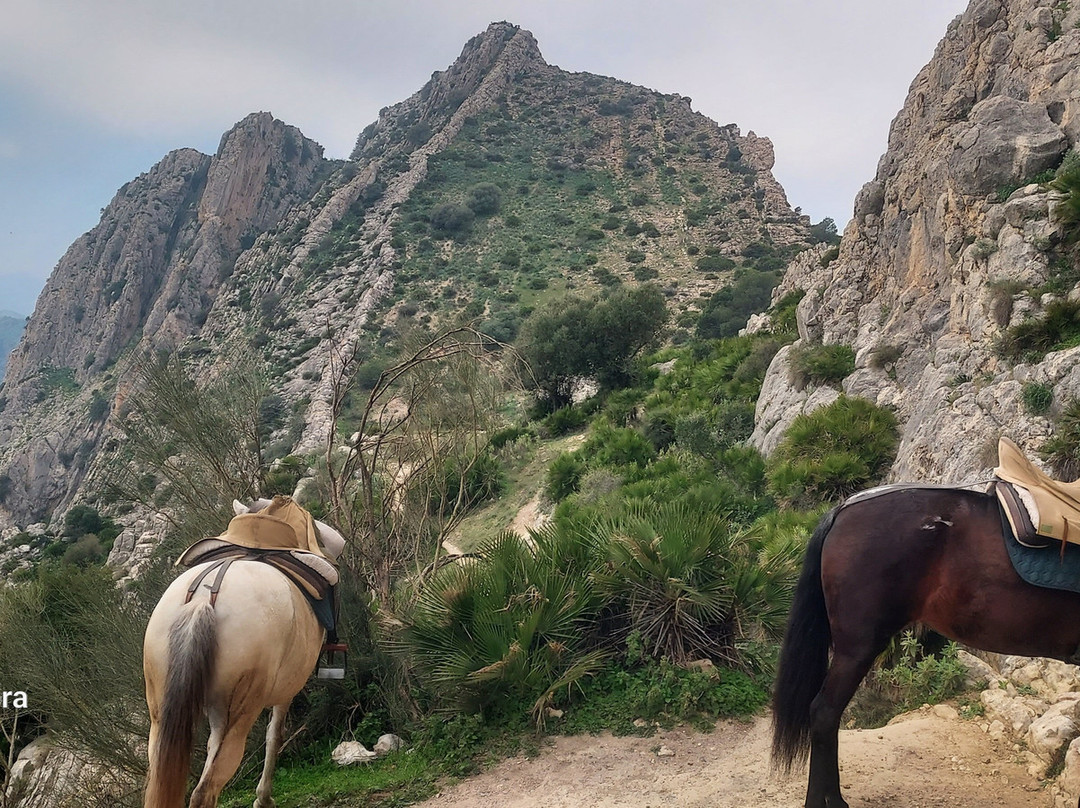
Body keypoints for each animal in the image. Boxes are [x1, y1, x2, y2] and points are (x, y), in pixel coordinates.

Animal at [142, 499, 345, 808]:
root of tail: (203, 600)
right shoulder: (286, 690)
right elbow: (274, 736)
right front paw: (263, 798)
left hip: (161, 712)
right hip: (238, 712)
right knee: (206, 789)